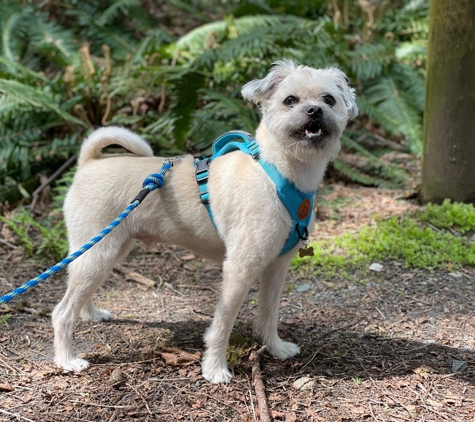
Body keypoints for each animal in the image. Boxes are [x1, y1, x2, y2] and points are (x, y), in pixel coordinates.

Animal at [52, 60, 356, 382]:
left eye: (329, 99)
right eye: (290, 100)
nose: (314, 111)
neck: (277, 173)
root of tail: (87, 164)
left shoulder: (276, 266)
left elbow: (268, 313)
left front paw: (274, 347)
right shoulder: (239, 269)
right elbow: (223, 323)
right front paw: (214, 368)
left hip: (105, 252)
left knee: (79, 296)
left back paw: (90, 315)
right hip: (98, 254)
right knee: (61, 312)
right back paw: (67, 359)